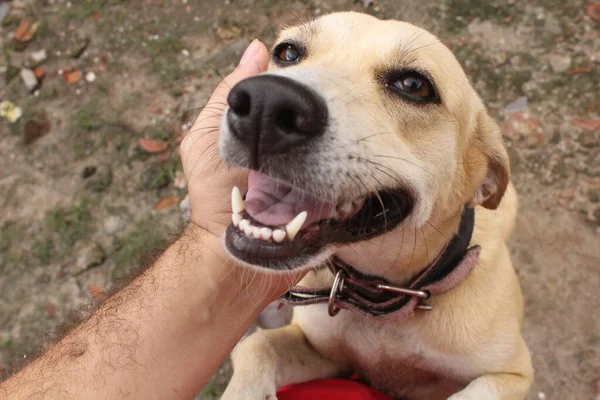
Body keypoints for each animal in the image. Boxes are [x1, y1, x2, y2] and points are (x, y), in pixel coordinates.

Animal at [217, 11, 536, 400]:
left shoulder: (512, 374)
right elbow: (258, 346)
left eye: (414, 85)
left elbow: (475, 393)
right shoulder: (324, 353)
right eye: (288, 53)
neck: (386, 296)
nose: (265, 103)